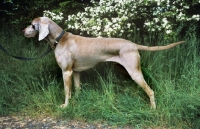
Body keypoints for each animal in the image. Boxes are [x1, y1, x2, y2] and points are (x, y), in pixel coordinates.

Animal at [22, 16, 184, 108]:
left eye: (32, 25)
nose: (23, 31)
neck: (60, 39)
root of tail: (132, 44)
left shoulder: (66, 72)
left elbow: (66, 91)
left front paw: (65, 106)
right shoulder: (75, 72)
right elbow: (77, 88)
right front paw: (78, 101)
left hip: (134, 72)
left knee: (150, 91)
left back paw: (153, 109)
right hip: (124, 69)